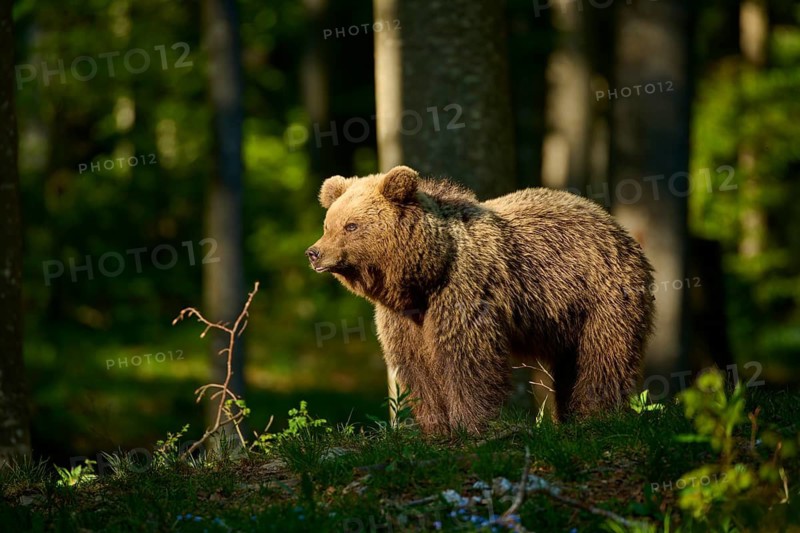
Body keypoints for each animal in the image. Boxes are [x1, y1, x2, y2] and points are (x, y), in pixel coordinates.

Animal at [306, 165, 655, 434]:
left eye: (351, 225)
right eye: (327, 224)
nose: (314, 252)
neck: (427, 274)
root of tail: (614, 224)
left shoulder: (463, 291)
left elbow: (467, 359)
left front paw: (471, 423)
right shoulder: (404, 317)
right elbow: (416, 366)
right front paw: (434, 426)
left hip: (603, 294)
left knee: (603, 356)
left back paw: (596, 413)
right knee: (571, 363)